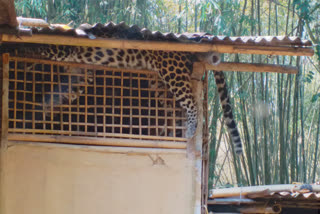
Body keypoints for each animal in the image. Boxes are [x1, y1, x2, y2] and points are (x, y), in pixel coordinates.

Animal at [7, 43, 242, 154]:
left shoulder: (65, 51)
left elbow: (42, 47)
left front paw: (20, 47)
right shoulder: (79, 75)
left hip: (171, 70)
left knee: (191, 102)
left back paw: (191, 128)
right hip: (157, 82)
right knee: (173, 108)